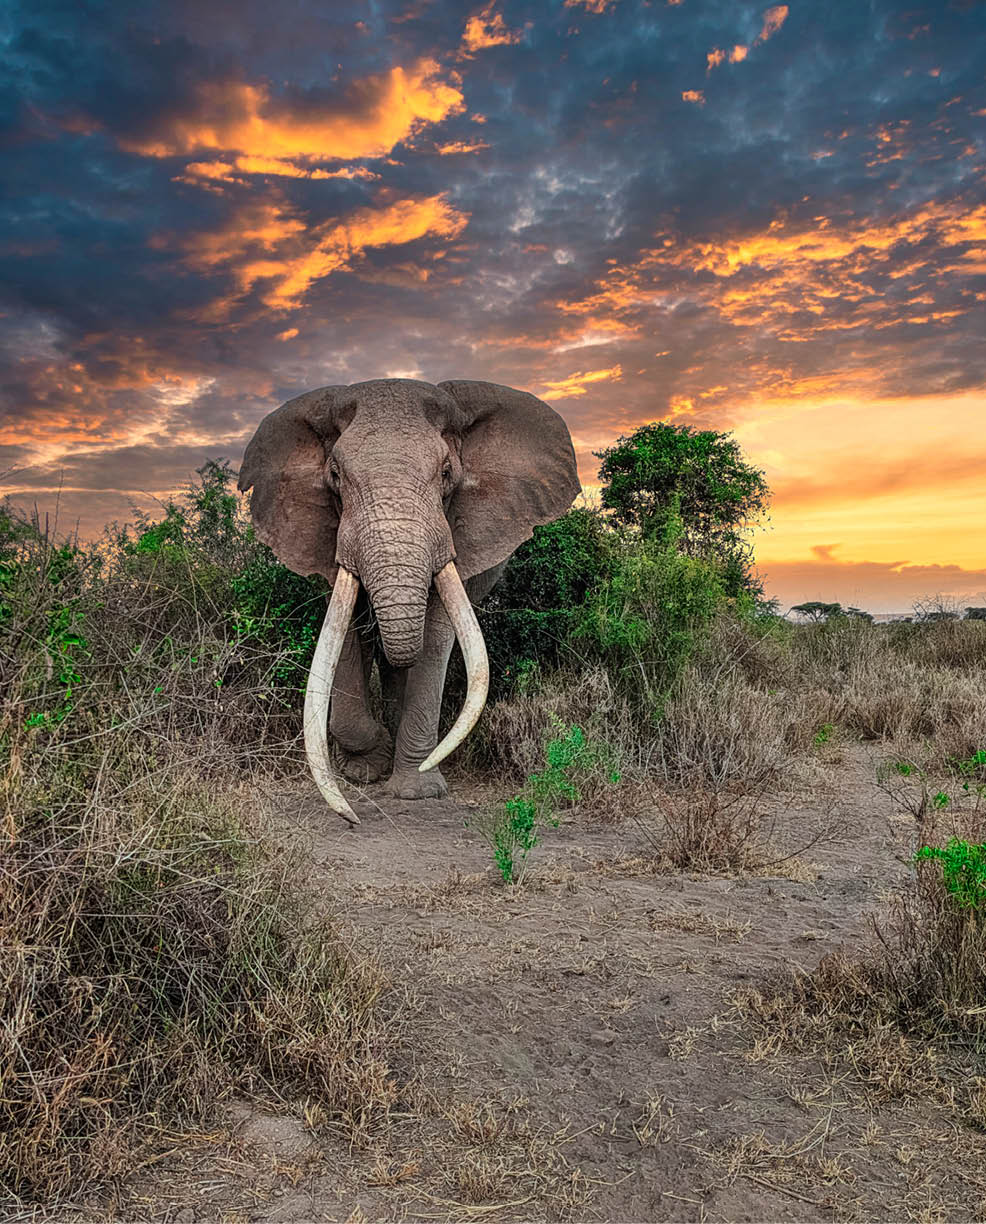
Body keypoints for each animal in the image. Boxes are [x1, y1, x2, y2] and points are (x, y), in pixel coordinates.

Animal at [238, 378, 579, 824]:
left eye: (447, 473)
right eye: (335, 475)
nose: (353, 818)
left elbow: (434, 638)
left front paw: (418, 791)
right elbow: (347, 635)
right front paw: (366, 770)